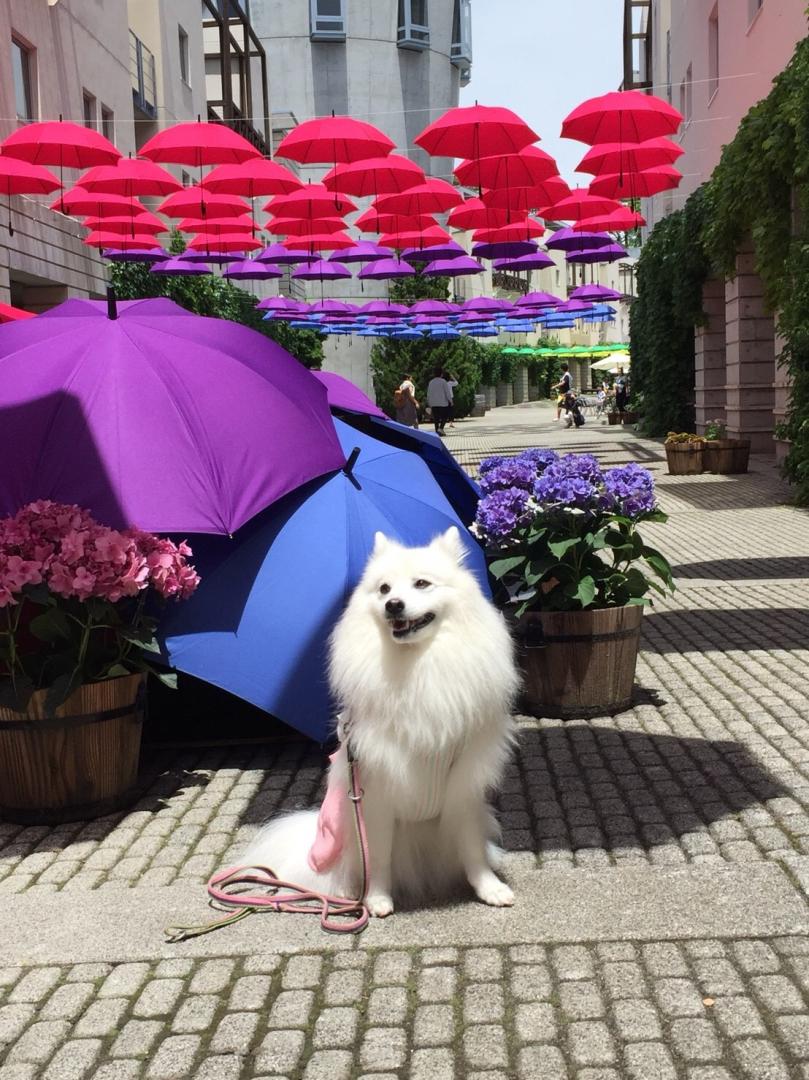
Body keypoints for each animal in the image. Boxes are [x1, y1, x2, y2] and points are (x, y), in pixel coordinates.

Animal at [244, 527, 518, 915]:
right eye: (385, 589)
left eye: (421, 583)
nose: (394, 605)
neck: (418, 665)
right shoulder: (375, 797)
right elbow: (377, 857)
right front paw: (376, 898)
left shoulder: (462, 788)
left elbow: (471, 848)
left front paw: (488, 888)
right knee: (344, 867)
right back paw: (346, 892)